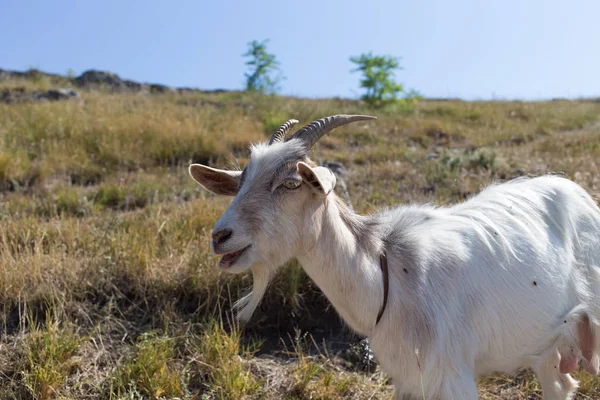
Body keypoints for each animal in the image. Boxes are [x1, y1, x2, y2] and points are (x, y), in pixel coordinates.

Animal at [189, 114, 600, 398]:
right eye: (240, 182)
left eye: (291, 183)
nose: (220, 236)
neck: (388, 274)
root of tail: (578, 192)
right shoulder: (407, 379)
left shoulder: (453, 377)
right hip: (547, 343)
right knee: (561, 385)